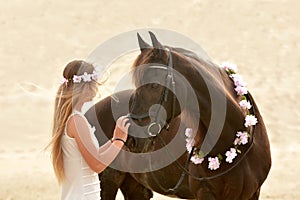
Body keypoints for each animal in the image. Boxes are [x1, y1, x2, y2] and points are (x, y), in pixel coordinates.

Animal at [85, 32, 272, 199]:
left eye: (154, 85)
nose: (131, 139)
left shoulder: (253, 194)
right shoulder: (205, 193)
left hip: (135, 187)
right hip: (107, 184)